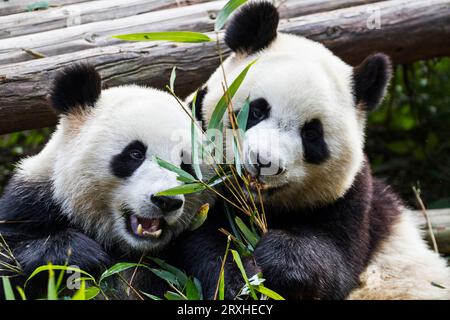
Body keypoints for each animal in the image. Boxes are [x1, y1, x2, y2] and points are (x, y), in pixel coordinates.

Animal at [0, 63, 207, 298]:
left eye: (185, 164)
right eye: (135, 154)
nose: (166, 201)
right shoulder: (32, 204)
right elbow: (10, 258)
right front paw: (79, 252)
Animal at [177, 1, 450, 300]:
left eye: (311, 134)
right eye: (256, 111)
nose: (264, 162)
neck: (260, 206)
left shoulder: (351, 203)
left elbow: (333, 259)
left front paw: (276, 259)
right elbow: (203, 241)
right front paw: (239, 279)